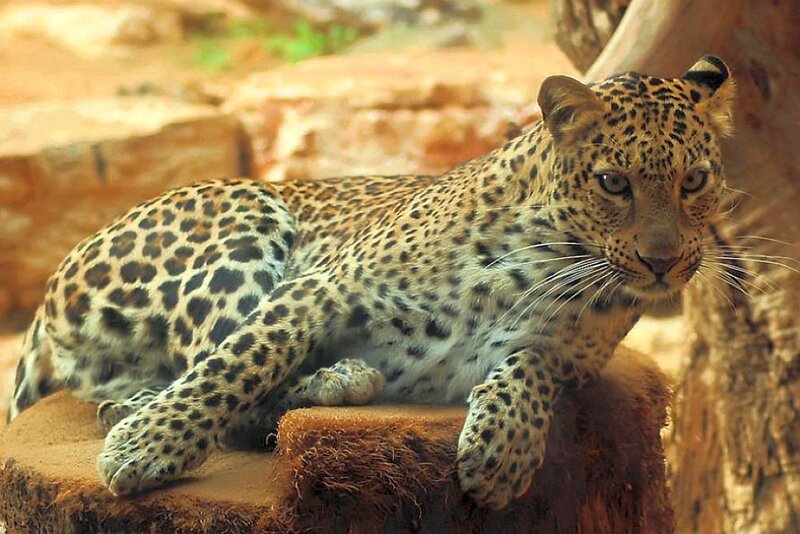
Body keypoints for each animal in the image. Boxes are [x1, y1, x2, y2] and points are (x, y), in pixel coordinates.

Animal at [8, 55, 735, 510]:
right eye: (614, 182)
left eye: (695, 180)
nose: (664, 262)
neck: (555, 264)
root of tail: (49, 292)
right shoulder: (318, 290)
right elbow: (238, 364)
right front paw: (149, 446)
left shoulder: (574, 359)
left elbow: (536, 366)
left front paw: (503, 449)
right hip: (244, 221)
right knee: (208, 368)